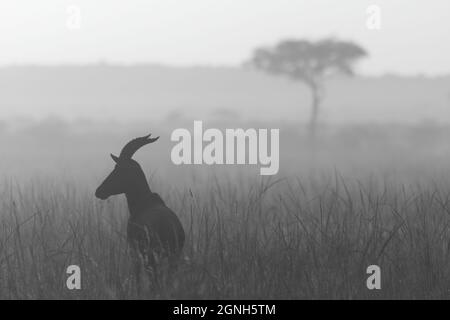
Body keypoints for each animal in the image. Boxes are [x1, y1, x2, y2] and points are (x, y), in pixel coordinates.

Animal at [96, 134, 185, 286]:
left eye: (119, 168)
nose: (99, 191)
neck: (145, 203)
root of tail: (170, 227)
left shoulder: (134, 251)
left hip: (152, 257)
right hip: (173, 258)